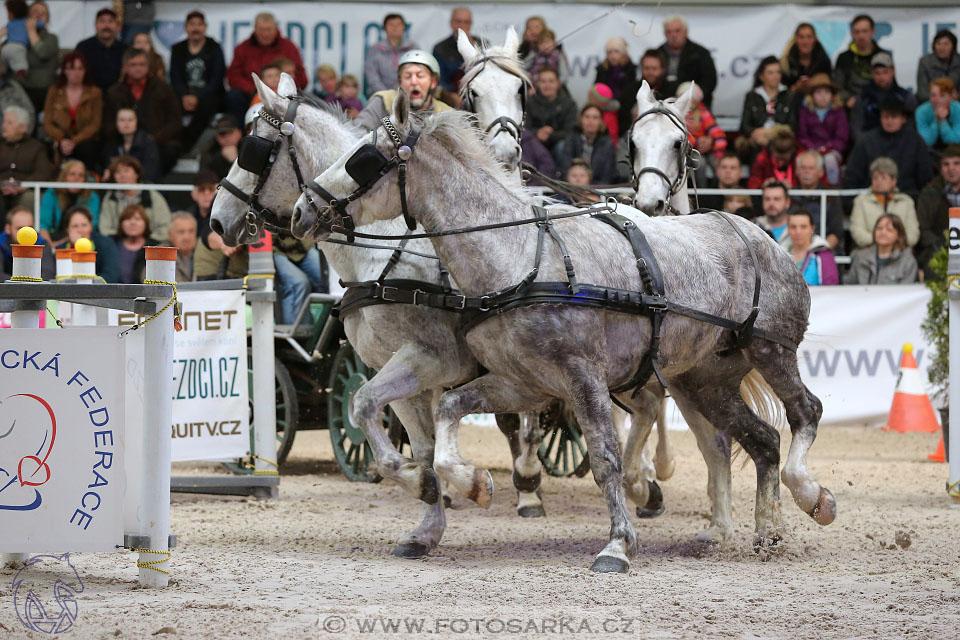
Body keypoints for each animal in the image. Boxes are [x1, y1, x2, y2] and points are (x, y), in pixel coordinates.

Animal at [290, 96, 832, 576]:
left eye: (363, 158)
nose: (300, 210)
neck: (520, 258)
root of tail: (759, 234)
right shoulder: (521, 384)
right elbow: (446, 417)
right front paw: (473, 483)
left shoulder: (582, 378)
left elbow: (605, 460)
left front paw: (618, 545)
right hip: (705, 379)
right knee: (760, 440)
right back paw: (768, 531)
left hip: (771, 350)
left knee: (805, 412)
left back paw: (812, 497)